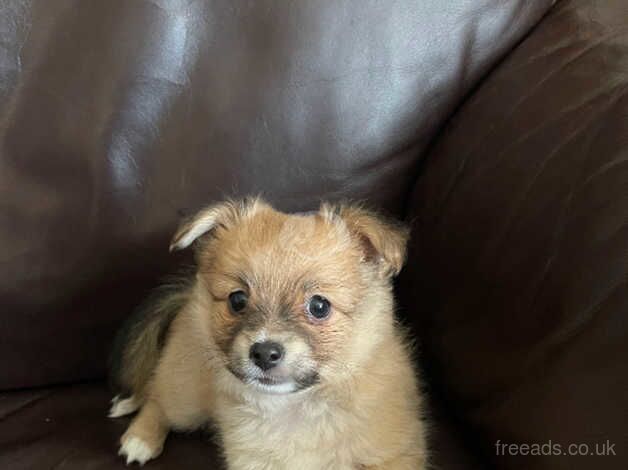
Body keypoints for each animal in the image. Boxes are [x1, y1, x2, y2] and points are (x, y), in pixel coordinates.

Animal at [110, 196, 430, 468]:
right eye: (237, 300)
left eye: (319, 306)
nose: (264, 353)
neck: (296, 406)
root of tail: (189, 295)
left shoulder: (396, 455)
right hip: (186, 394)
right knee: (157, 397)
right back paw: (140, 438)